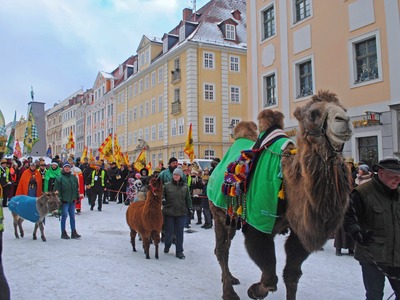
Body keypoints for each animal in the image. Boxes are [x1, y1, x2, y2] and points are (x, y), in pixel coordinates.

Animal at [209, 90, 354, 298]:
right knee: (222, 249)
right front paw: (255, 290)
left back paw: (230, 279)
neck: (287, 180)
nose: (344, 120)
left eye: (344, 109)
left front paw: (257, 289)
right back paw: (229, 292)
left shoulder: (299, 232)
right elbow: (270, 277)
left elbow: (291, 275)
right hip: (219, 212)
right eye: (313, 114)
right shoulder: (257, 223)